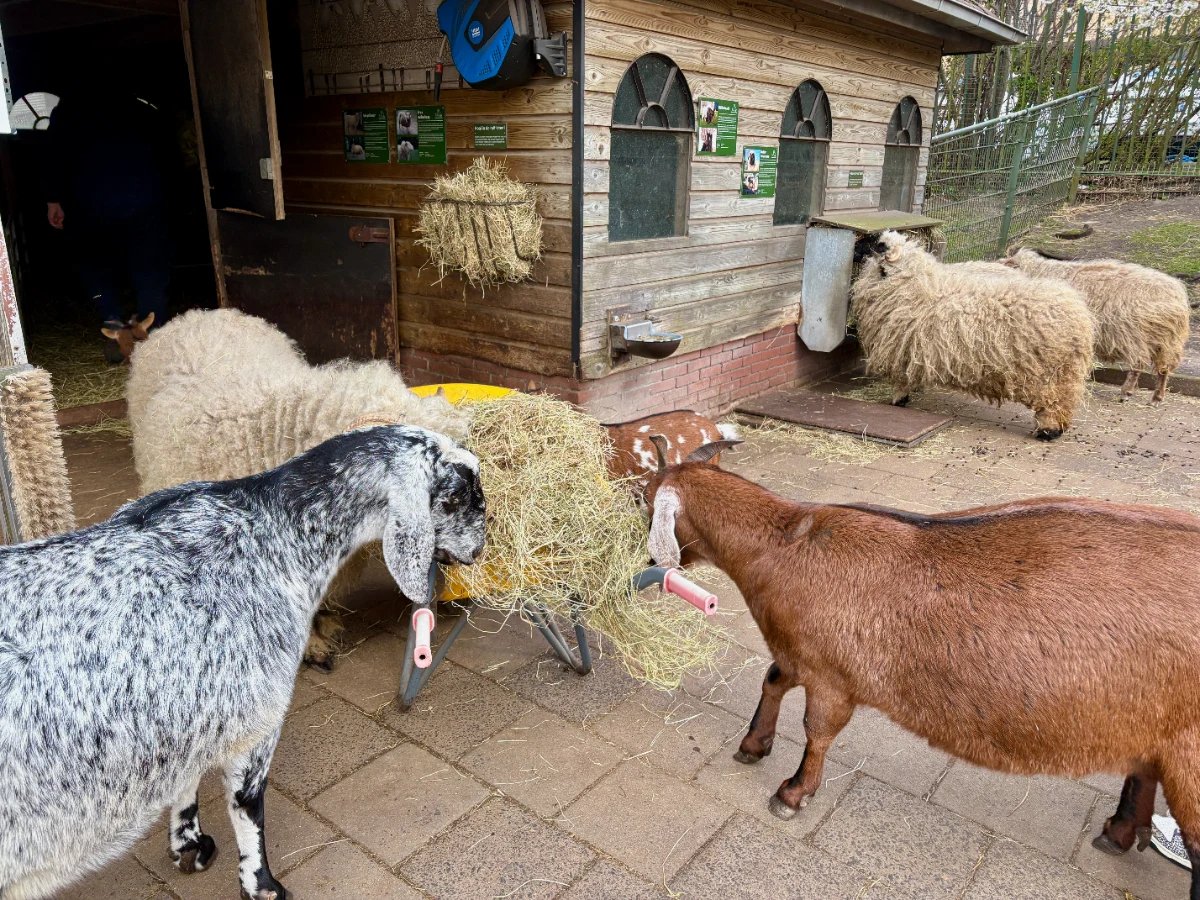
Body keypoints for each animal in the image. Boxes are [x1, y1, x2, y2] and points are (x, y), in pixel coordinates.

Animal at [0, 425, 486, 900]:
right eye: (458, 496)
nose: (480, 549)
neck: (277, 533)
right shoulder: (256, 720)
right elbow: (247, 806)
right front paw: (263, 885)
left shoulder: (194, 715)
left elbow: (186, 780)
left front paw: (189, 846)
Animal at [644, 436, 1200, 895]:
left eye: (644, 498)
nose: (641, 552)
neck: (785, 544)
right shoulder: (800, 653)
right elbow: (774, 678)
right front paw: (753, 745)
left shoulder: (831, 674)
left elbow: (817, 730)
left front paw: (793, 793)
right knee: (1143, 768)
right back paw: (1118, 832)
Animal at [851, 230, 1095, 440]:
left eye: (875, 243)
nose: (854, 246)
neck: (910, 284)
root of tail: (1080, 317)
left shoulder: (901, 348)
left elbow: (901, 382)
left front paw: (898, 401)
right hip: (1065, 372)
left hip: (1050, 373)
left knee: (1053, 403)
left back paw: (1048, 431)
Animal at [1006, 247, 1191, 402]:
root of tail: (1177, 298)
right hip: (1168, 342)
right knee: (1164, 369)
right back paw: (1157, 397)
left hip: (1136, 336)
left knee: (1138, 364)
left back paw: (1126, 393)